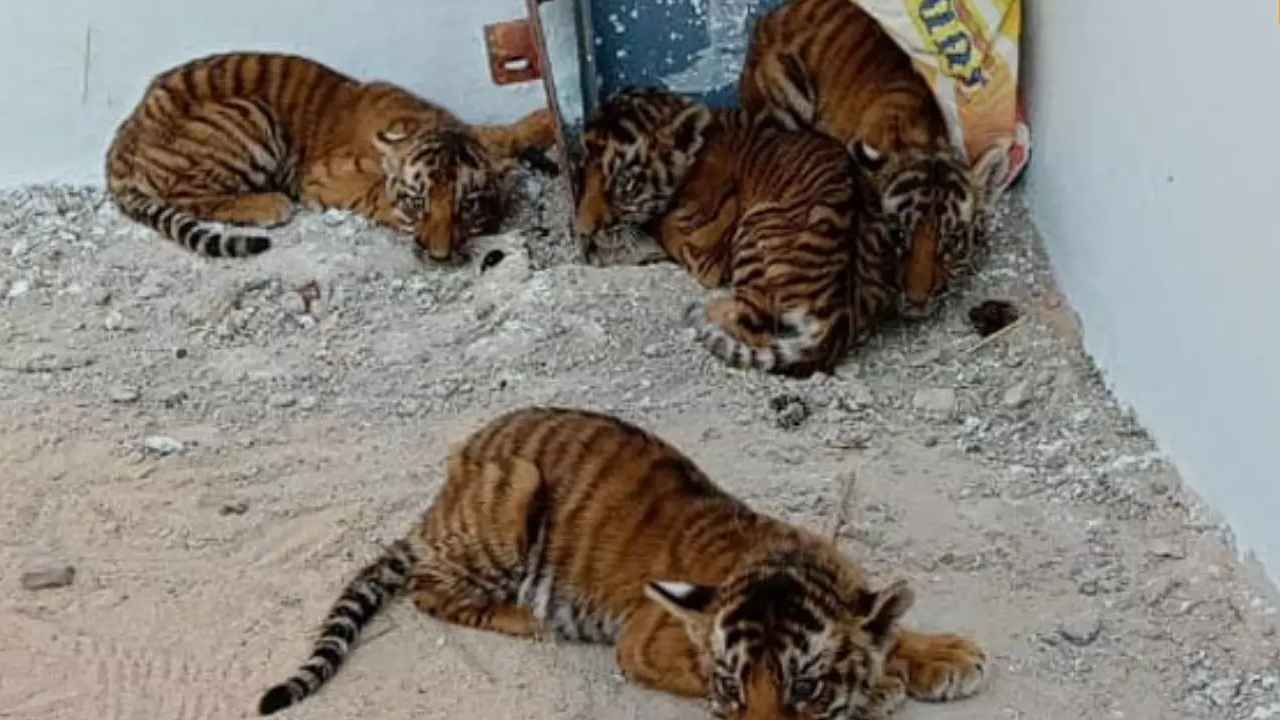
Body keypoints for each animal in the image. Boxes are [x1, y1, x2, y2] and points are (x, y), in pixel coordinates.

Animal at [105, 52, 557, 262]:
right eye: (418, 202)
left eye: (467, 206)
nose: (439, 256)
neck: (425, 121)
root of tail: (122, 138)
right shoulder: (321, 177)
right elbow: (373, 191)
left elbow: (496, 133)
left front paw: (543, 121)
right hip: (250, 114)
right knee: (185, 194)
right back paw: (268, 204)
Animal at [256, 406, 988, 719]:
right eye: (730, 686)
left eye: (804, 688)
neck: (779, 560)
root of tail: (438, 499)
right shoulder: (646, 642)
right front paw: (886, 688)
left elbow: (886, 625)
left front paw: (942, 656)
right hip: (512, 493)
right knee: (429, 587)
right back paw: (525, 618)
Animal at [573, 87, 900, 378]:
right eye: (582, 171)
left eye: (624, 185)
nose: (582, 230)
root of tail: (839, 317)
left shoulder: (704, 252)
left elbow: (663, 225)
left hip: (754, 231)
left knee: (749, 324)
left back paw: (703, 311)